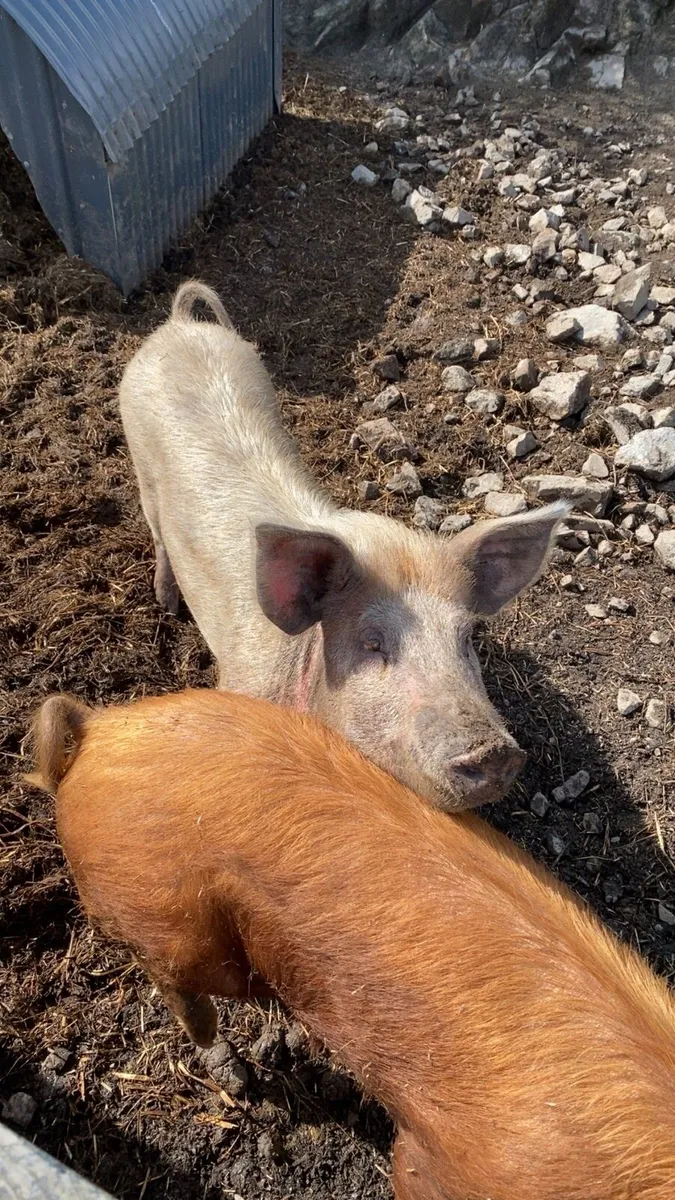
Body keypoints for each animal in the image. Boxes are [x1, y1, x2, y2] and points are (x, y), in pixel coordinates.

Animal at [119, 281, 568, 810]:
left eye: (467, 638)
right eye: (372, 643)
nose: (494, 751)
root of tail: (179, 324)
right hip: (141, 467)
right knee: (156, 533)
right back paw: (166, 602)